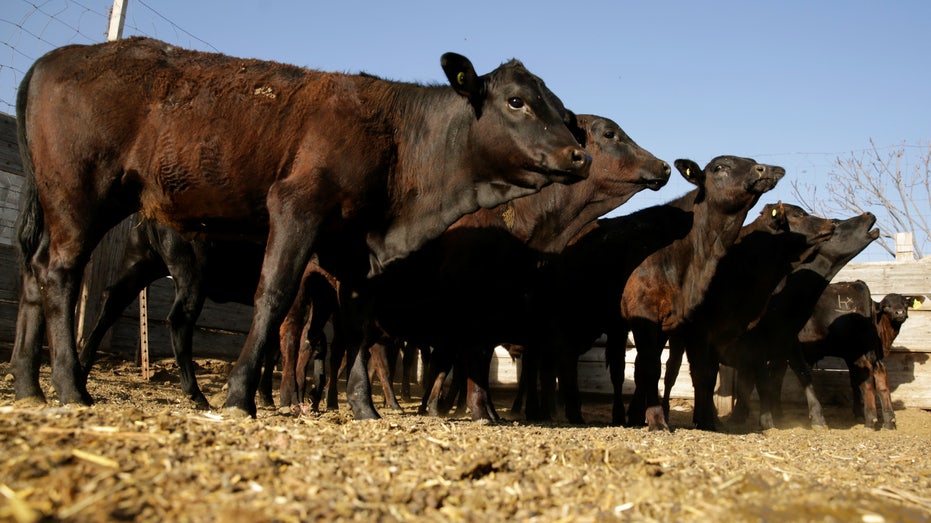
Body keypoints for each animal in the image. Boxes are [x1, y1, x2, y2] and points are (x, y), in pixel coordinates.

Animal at [9, 35, 588, 418]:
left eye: (561, 108)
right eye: (516, 101)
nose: (578, 156)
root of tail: (55, 58)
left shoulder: (356, 247)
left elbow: (357, 328)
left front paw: (362, 408)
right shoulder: (297, 206)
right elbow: (274, 296)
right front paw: (241, 396)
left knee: (37, 274)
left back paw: (27, 386)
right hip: (80, 196)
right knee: (61, 274)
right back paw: (70, 387)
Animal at [660, 202, 840, 430]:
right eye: (798, 214)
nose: (832, 223)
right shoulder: (706, 333)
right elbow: (710, 375)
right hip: (677, 337)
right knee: (672, 372)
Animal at [728, 213, 880, 430]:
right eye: (836, 221)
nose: (868, 214)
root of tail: (856, 284)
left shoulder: (787, 342)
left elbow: (797, 375)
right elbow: (760, 380)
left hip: (854, 350)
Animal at [776, 282, 920, 430]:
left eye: (905, 304)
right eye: (887, 306)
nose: (900, 313)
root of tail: (857, 284)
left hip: (855, 351)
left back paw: (870, 419)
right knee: (878, 372)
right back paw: (888, 420)